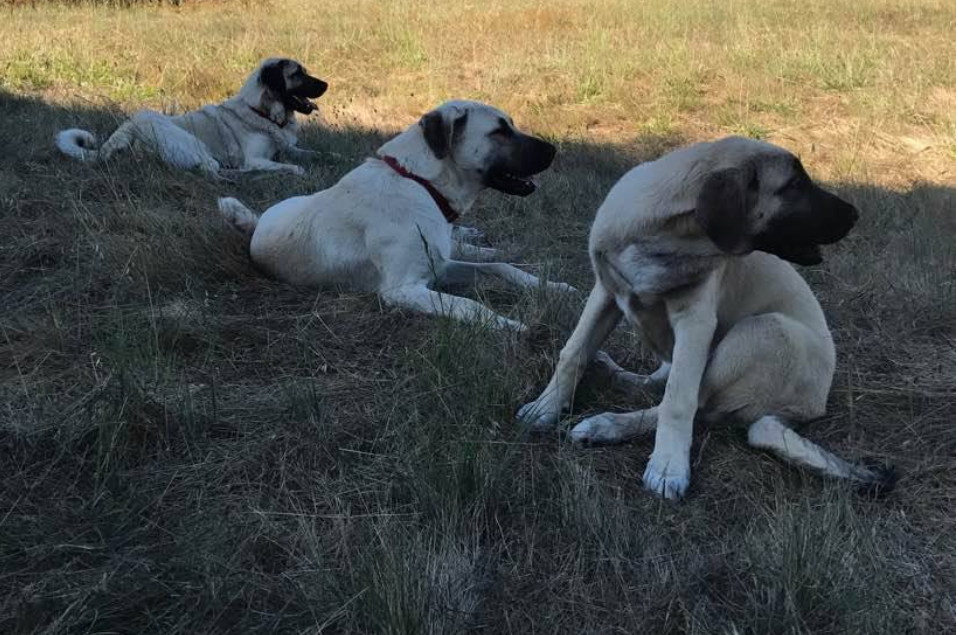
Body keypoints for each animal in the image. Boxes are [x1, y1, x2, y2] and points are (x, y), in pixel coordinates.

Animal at [55, 57, 326, 176]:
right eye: (298, 74)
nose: (327, 84)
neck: (262, 112)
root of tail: (121, 134)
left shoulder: (289, 149)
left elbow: (314, 154)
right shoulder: (254, 159)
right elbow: (296, 166)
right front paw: (293, 170)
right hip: (188, 140)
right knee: (211, 170)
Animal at [221, 99, 572, 332]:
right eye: (499, 131)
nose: (554, 150)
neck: (421, 183)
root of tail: (257, 223)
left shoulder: (440, 265)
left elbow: (502, 268)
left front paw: (552, 285)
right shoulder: (405, 289)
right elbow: (468, 304)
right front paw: (507, 323)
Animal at [516, 137, 900, 500]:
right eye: (793, 185)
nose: (855, 214)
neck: (665, 238)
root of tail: (812, 407)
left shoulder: (696, 320)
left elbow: (678, 400)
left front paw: (668, 466)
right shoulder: (605, 293)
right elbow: (573, 353)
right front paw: (545, 408)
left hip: (766, 330)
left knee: (698, 405)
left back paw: (607, 426)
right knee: (662, 379)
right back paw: (618, 374)